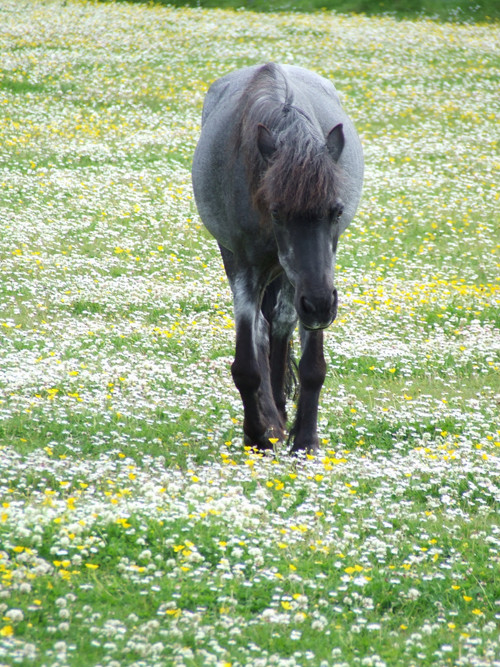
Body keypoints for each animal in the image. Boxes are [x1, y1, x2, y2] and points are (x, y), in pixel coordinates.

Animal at [191, 62, 364, 454]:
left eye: (336, 210)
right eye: (276, 212)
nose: (318, 306)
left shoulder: (317, 281)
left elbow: (312, 364)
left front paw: (305, 440)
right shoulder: (244, 265)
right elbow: (246, 361)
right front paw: (259, 433)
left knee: (282, 325)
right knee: (263, 328)